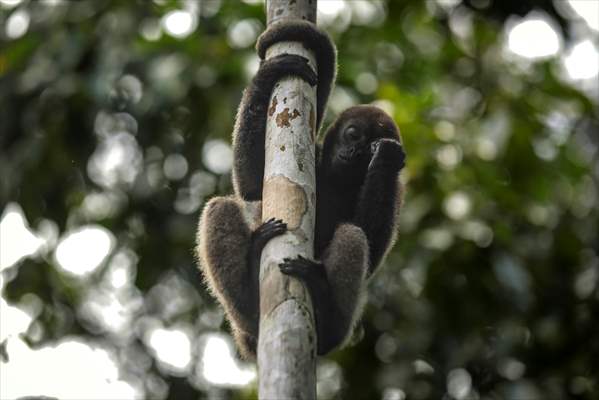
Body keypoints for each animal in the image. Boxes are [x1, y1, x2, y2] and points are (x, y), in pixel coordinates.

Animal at [198, 19, 408, 360]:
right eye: (353, 135)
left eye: (368, 148)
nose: (353, 152)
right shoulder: (317, 152)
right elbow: (250, 185)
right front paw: (266, 76)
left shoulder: (398, 189)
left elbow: (372, 245)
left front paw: (385, 159)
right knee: (220, 207)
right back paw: (250, 300)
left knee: (352, 235)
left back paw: (325, 309)